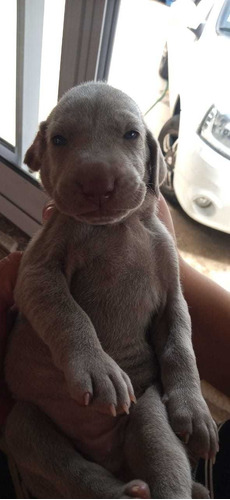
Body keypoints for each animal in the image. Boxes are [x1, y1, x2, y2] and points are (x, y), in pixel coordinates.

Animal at [4, 82, 218, 496]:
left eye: (132, 134)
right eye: (59, 139)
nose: (97, 182)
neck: (117, 227)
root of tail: (108, 457)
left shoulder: (172, 289)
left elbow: (181, 344)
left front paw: (196, 410)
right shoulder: (38, 267)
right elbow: (68, 313)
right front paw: (98, 368)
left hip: (149, 411)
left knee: (165, 460)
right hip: (24, 422)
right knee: (74, 470)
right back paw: (124, 490)